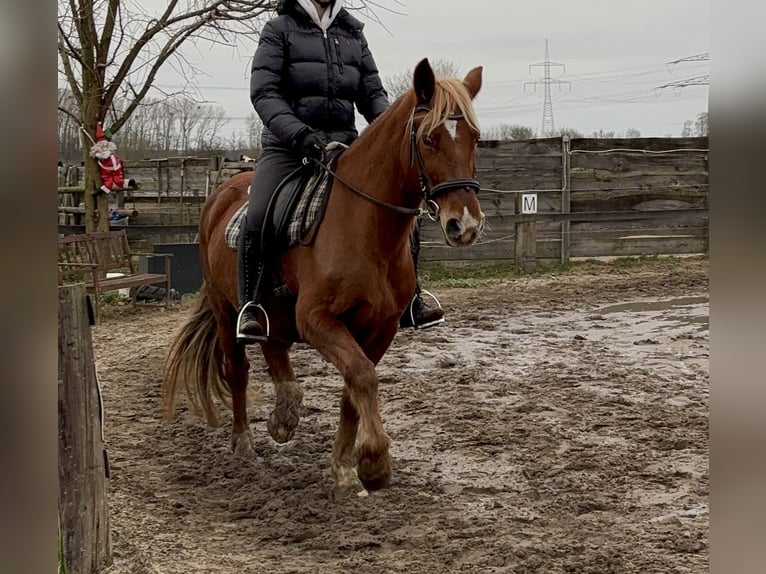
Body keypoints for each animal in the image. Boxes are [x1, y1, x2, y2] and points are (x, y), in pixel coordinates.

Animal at [164, 59, 486, 500]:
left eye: (475, 138)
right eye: (429, 138)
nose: (465, 224)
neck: (364, 227)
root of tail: (222, 192)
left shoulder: (381, 327)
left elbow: (355, 386)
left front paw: (346, 468)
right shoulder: (317, 320)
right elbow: (362, 375)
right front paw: (374, 463)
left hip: (277, 313)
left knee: (275, 349)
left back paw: (285, 414)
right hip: (225, 308)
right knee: (238, 368)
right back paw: (245, 442)